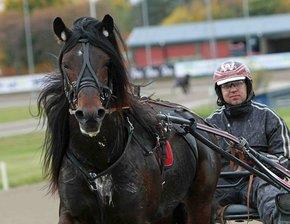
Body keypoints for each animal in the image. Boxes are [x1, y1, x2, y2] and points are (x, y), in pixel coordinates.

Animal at [38, 14, 220, 223]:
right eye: (66, 64)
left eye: (107, 62)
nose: (89, 114)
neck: (98, 162)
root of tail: (198, 121)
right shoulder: (71, 213)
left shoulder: (136, 216)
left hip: (199, 204)